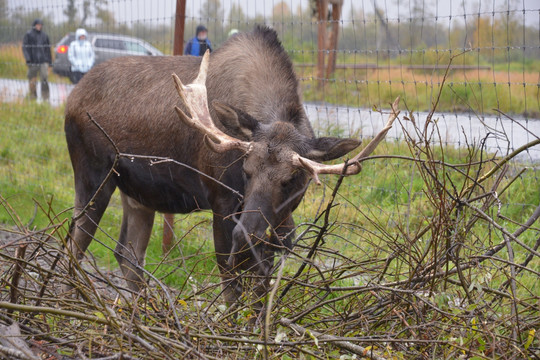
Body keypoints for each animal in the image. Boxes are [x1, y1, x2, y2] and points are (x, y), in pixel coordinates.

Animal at [65, 26, 398, 306]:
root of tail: (72, 97)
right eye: (246, 170)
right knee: (75, 242)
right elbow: (232, 290)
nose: (247, 237)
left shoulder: (280, 224)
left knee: (128, 256)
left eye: (292, 179)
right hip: (93, 176)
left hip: (138, 194)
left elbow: (261, 293)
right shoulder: (222, 202)